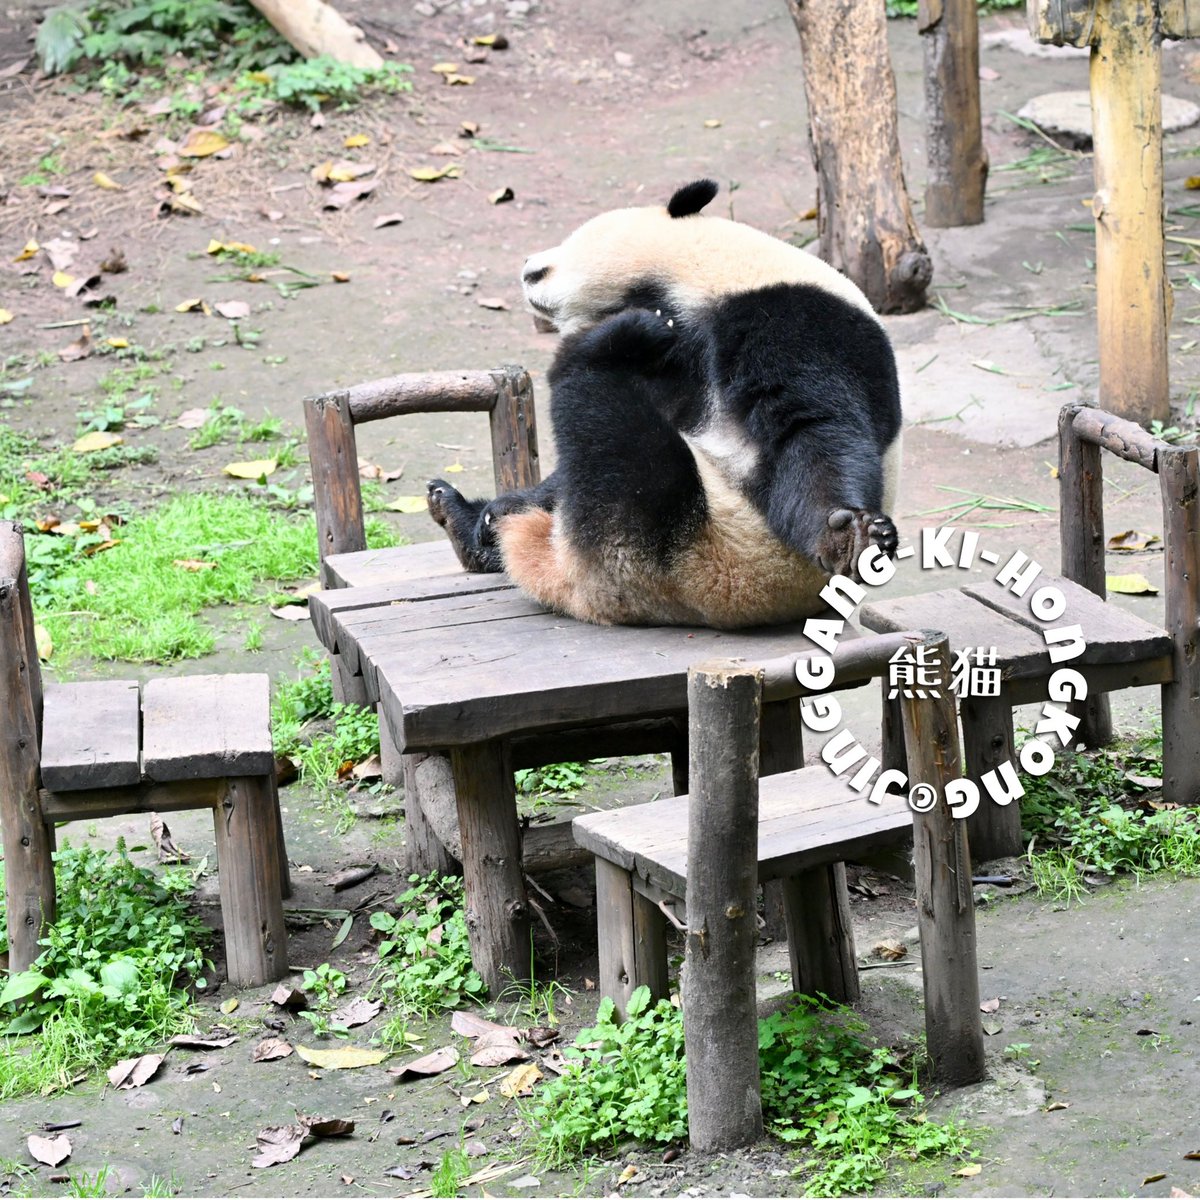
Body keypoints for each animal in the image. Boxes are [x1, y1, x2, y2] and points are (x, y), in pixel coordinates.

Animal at [422, 180, 902, 628]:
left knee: (610, 427)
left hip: (686, 541)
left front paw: (848, 536)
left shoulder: (790, 319)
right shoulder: (679, 358)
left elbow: (812, 427)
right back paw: (468, 518)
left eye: (571, 245)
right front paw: (491, 515)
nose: (529, 271)